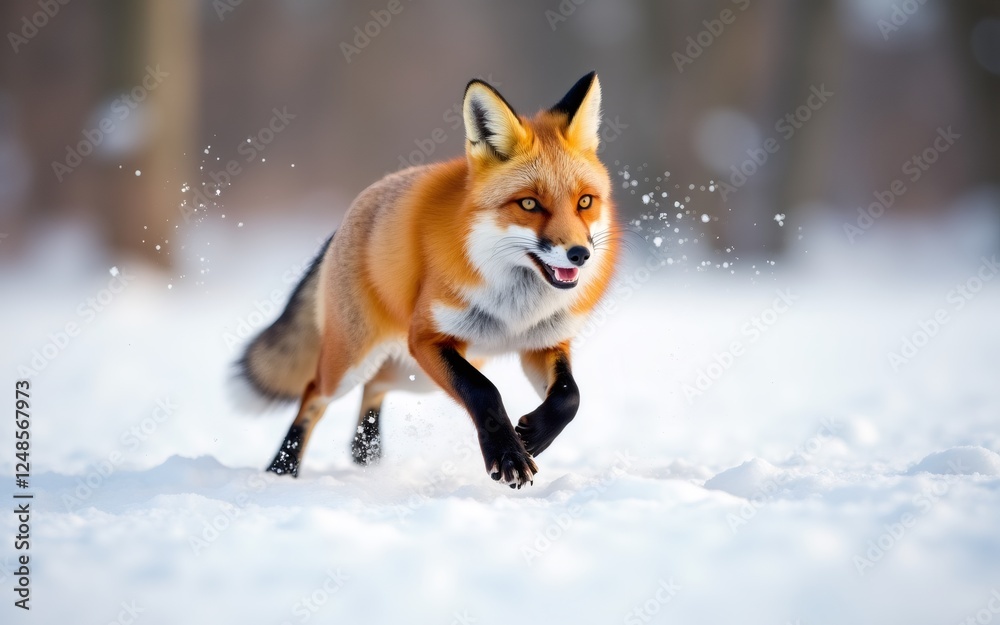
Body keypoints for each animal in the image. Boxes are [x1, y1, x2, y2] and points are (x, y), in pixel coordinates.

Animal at [237, 72, 619, 488]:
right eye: (530, 204)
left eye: (584, 202)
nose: (579, 254)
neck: (516, 311)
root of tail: (351, 214)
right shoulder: (426, 337)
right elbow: (484, 391)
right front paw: (508, 454)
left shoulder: (543, 343)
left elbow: (569, 397)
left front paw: (532, 435)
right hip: (354, 363)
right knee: (313, 394)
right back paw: (283, 468)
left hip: (415, 373)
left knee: (375, 386)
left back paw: (367, 455)